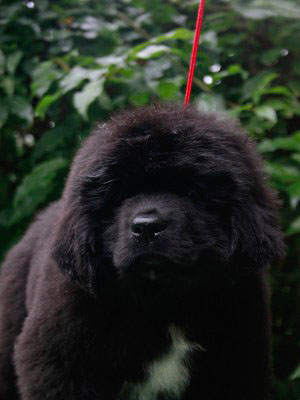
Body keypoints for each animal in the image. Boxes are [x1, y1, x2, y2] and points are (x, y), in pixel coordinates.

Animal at [0, 104, 284, 398]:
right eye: (120, 194)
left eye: (191, 191)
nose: (147, 227)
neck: (163, 298)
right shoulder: (63, 362)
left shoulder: (237, 362)